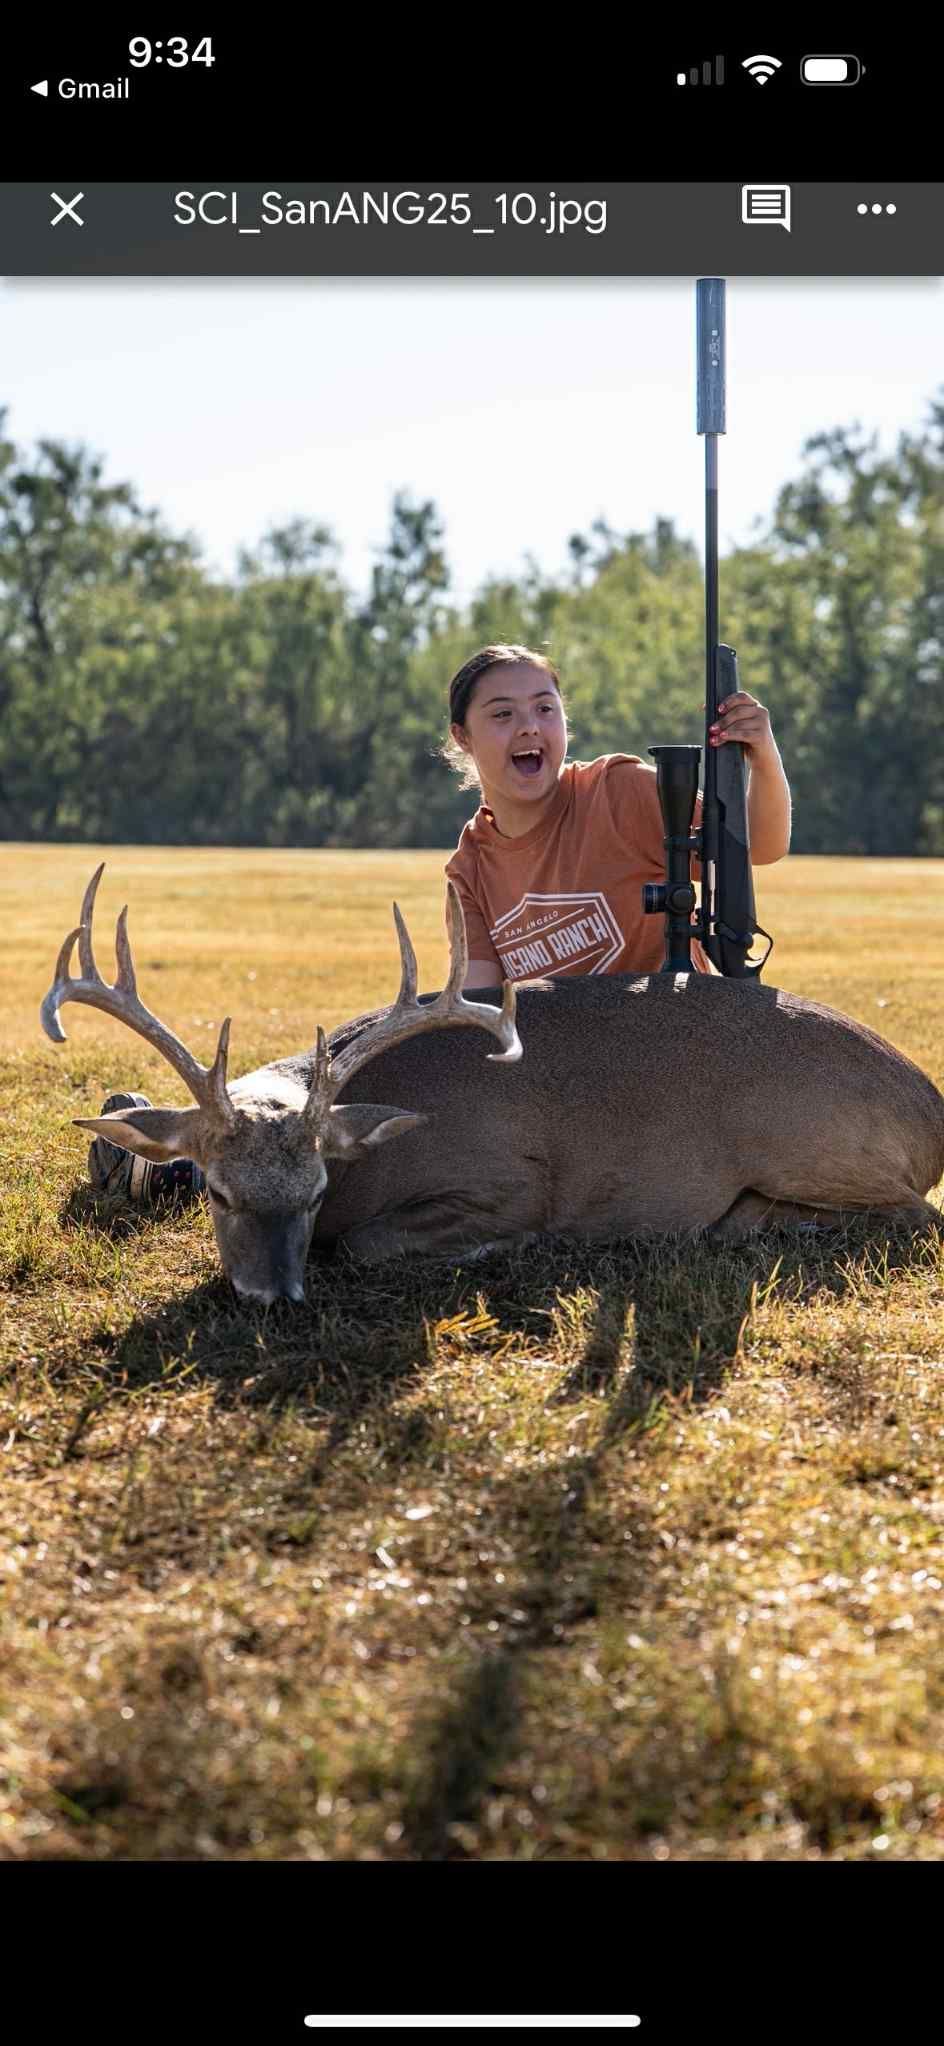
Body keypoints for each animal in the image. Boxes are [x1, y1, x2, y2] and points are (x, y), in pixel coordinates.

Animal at [42, 867, 944, 1303]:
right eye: (217, 1192)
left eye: (317, 1190)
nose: (272, 1295)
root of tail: (929, 1104)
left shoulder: (508, 1179)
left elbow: (370, 1245)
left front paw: (510, 1248)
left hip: (810, 1140)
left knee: (916, 1216)